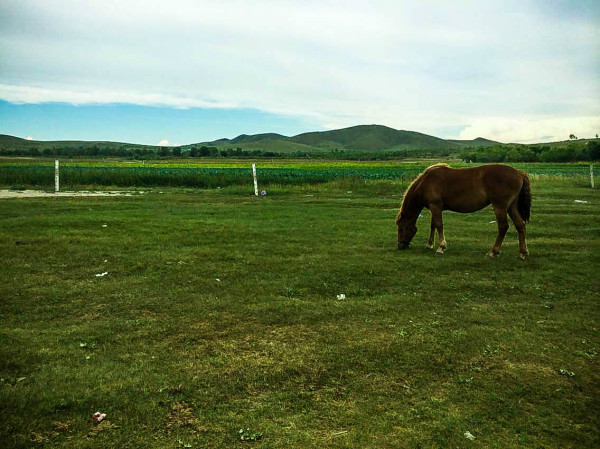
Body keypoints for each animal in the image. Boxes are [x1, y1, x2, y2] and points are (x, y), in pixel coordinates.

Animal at [398, 163, 528, 258]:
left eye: (401, 228)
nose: (400, 246)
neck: (426, 182)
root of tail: (518, 172)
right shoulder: (434, 208)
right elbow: (433, 225)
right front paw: (429, 244)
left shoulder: (435, 207)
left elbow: (439, 225)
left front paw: (441, 247)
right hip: (511, 207)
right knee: (520, 225)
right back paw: (522, 252)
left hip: (500, 207)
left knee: (503, 227)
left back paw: (493, 251)